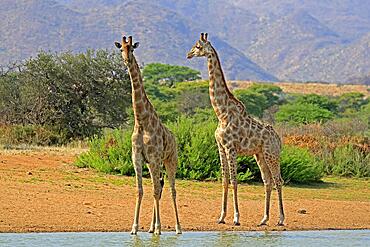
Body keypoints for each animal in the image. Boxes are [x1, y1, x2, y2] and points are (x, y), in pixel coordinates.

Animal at [114, 34, 181, 233]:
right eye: (121, 48)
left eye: (132, 48)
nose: (127, 59)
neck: (142, 121)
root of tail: (174, 138)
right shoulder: (137, 157)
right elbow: (140, 190)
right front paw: (135, 227)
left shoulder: (153, 157)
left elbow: (154, 191)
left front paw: (159, 228)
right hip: (157, 163)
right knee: (159, 186)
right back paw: (151, 228)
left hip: (170, 160)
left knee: (171, 190)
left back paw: (177, 227)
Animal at [186, 33, 284, 227]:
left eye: (198, 46)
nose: (189, 54)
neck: (222, 113)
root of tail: (278, 139)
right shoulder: (221, 147)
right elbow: (224, 180)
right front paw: (221, 217)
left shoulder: (231, 148)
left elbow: (234, 180)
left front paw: (236, 218)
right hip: (260, 155)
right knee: (267, 181)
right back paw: (264, 219)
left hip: (272, 154)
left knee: (278, 181)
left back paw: (281, 219)